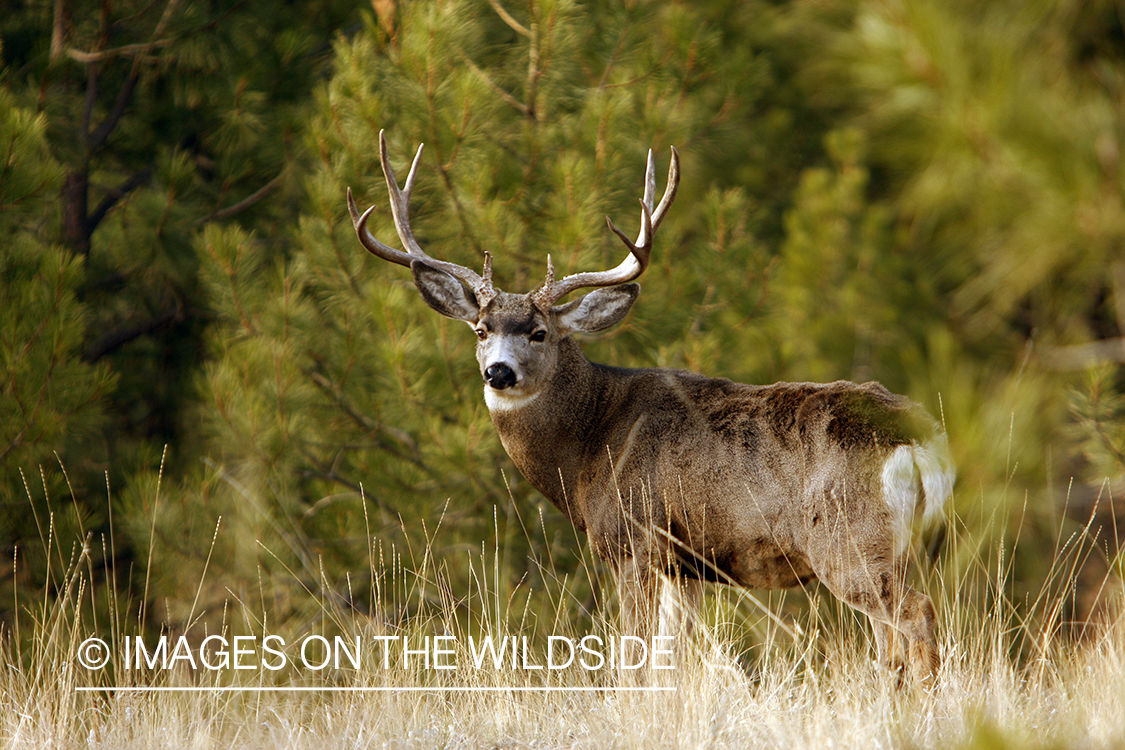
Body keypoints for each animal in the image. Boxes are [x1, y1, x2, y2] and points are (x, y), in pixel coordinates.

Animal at [346, 131, 956, 685]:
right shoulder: (684, 567)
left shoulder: (633, 540)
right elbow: (669, 659)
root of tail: (920, 439)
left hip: (848, 539)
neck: (590, 440)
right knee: (897, 636)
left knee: (915, 616)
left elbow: (633, 660)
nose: (499, 372)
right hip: (903, 547)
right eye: (480, 329)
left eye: (540, 333)